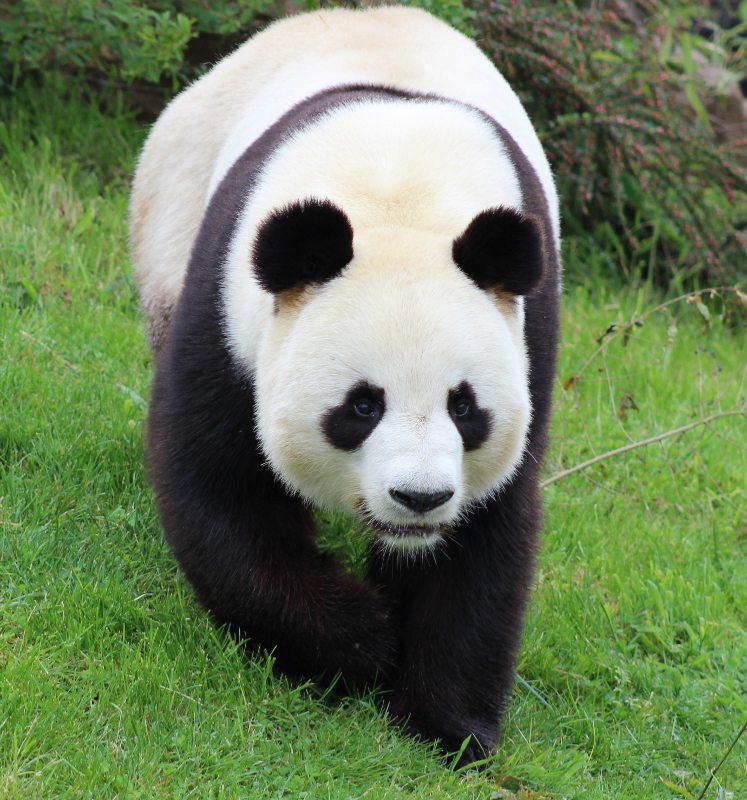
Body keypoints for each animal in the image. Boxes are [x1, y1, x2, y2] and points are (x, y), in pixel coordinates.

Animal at [130, 6, 560, 768]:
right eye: (361, 406)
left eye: (464, 407)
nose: (419, 499)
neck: (396, 191)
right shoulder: (227, 305)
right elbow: (218, 486)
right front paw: (360, 639)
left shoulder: (526, 333)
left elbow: (486, 533)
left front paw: (449, 726)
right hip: (170, 219)